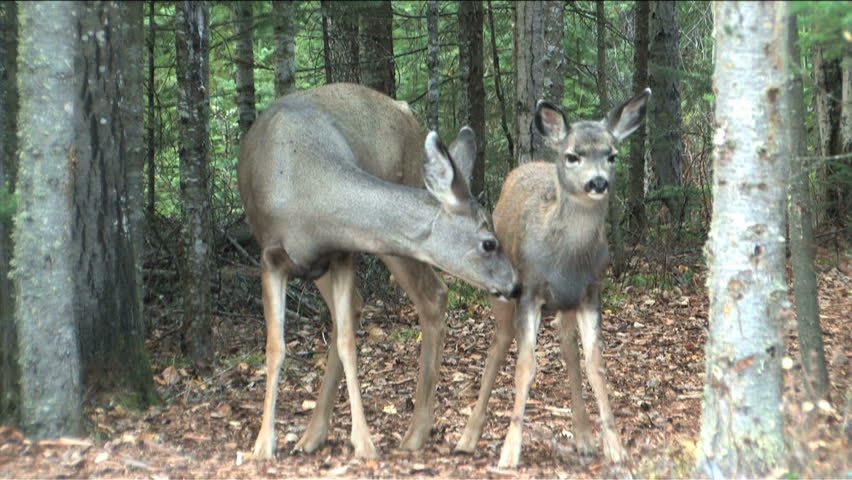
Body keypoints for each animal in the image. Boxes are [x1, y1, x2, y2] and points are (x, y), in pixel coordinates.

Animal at [237, 83, 521, 460]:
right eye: (489, 243)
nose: (515, 284)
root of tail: (403, 109)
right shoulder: (270, 257)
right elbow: (275, 347)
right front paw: (262, 444)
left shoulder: (344, 252)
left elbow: (346, 342)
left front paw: (364, 441)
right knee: (365, 305)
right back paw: (313, 435)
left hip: (397, 214)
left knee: (432, 295)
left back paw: (417, 431)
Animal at [454, 89, 651, 468]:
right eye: (573, 156)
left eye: (612, 155)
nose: (598, 182)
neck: (566, 260)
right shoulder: (530, 292)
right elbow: (525, 365)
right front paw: (509, 451)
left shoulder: (590, 293)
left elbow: (595, 365)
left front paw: (615, 447)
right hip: (503, 294)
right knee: (498, 346)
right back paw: (467, 439)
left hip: (566, 305)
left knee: (569, 350)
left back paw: (584, 438)